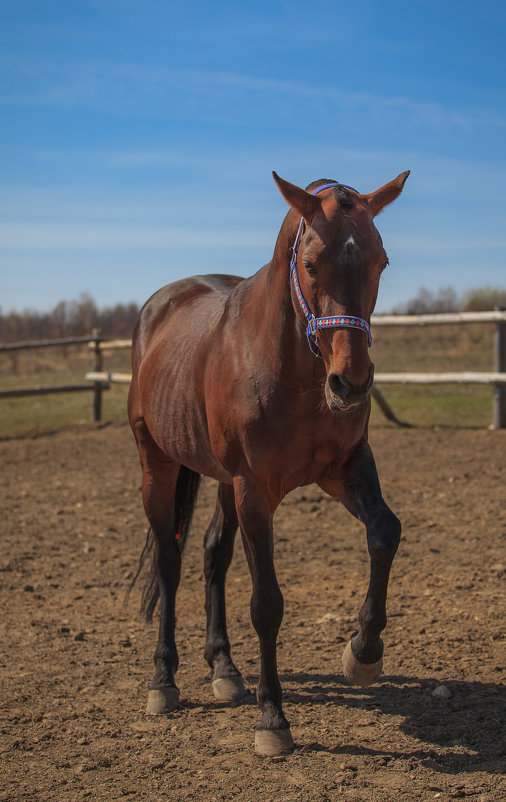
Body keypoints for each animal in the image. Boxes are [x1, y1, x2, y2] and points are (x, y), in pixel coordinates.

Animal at [128, 166, 410, 752]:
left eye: (381, 261)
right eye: (310, 265)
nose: (351, 383)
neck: (294, 372)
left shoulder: (346, 467)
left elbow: (384, 533)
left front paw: (363, 653)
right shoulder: (255, 490)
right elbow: (266, 603)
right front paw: (273, 718)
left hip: (220, 481)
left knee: (212, 554)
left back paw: (224, 669)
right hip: (157, 466)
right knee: (169, 561)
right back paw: (164, 681)